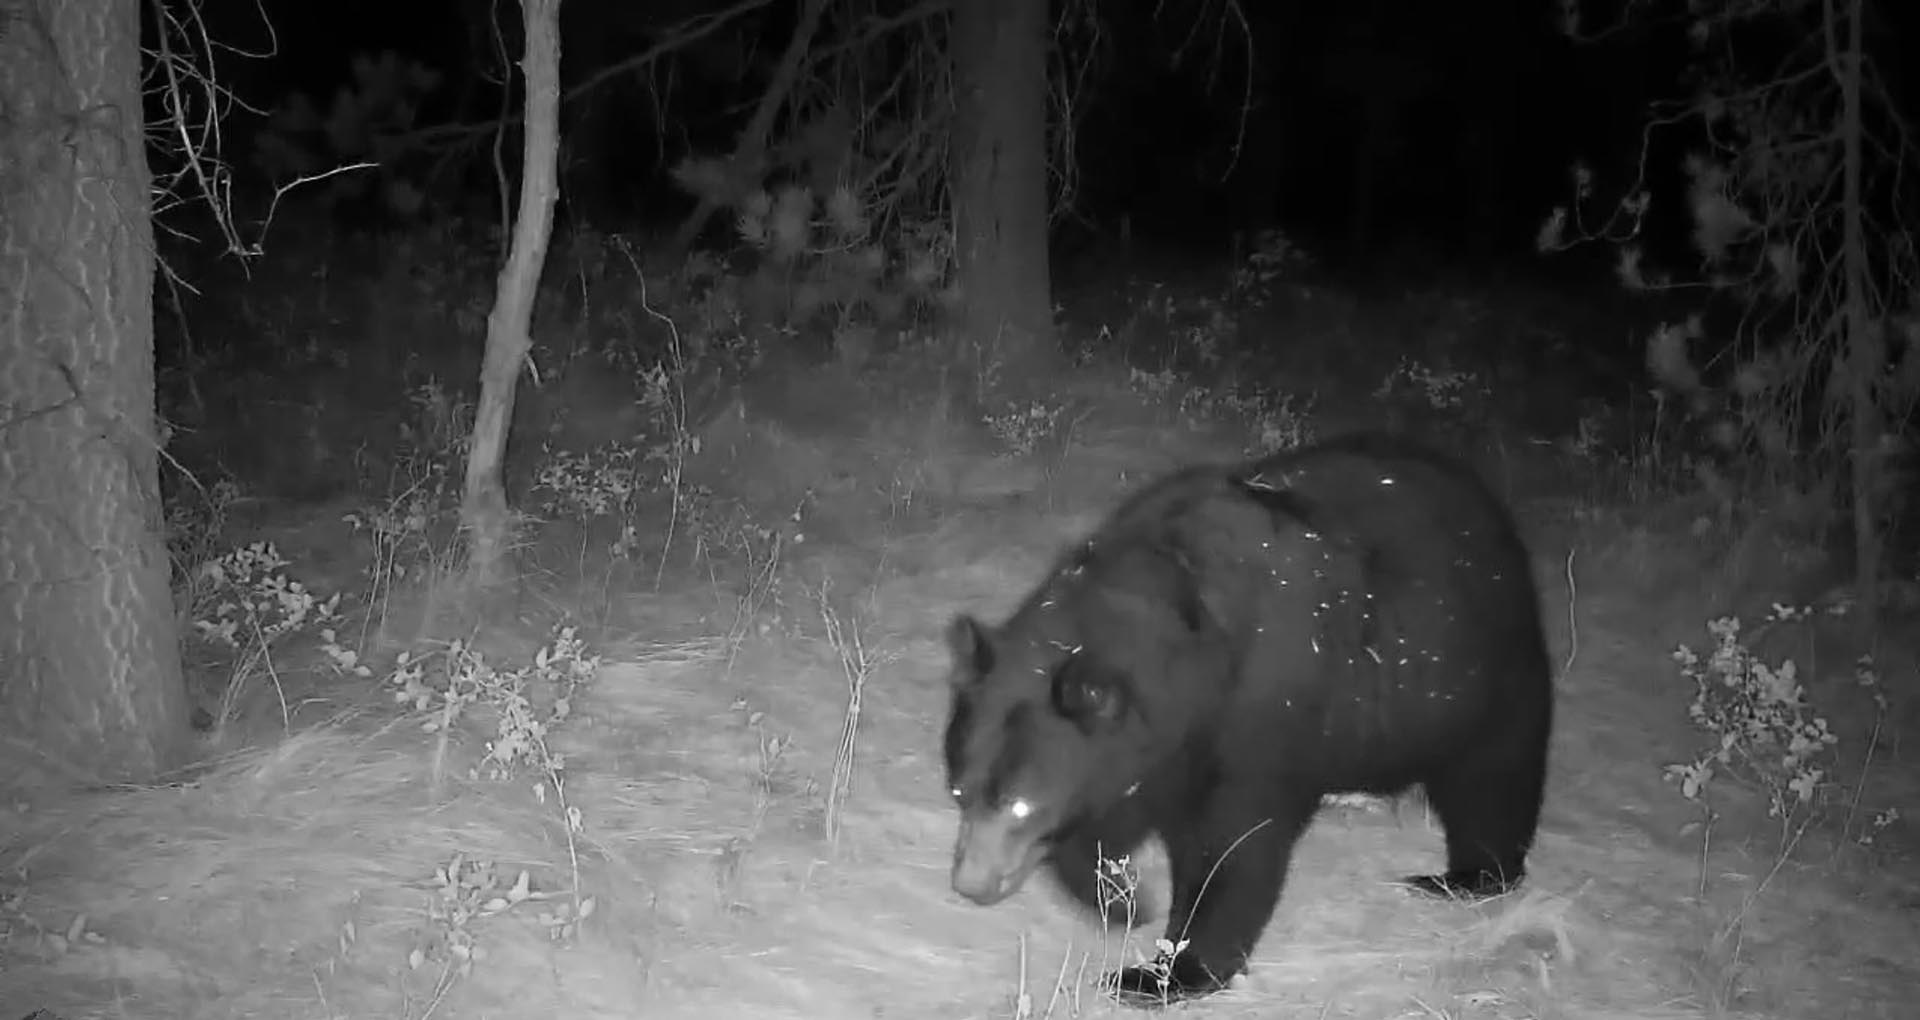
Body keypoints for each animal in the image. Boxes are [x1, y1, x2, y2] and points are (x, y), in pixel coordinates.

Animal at [941, 432, 1554, 1006]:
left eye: (1021, 805)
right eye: (959, 791)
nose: (969, 885)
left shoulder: (1258, 710)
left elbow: (1234, 847)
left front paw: (1162, 973)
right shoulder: (1152, 744)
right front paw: (1120, 899)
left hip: (1479, 670)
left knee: (1492, 778)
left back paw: (1468, 876)